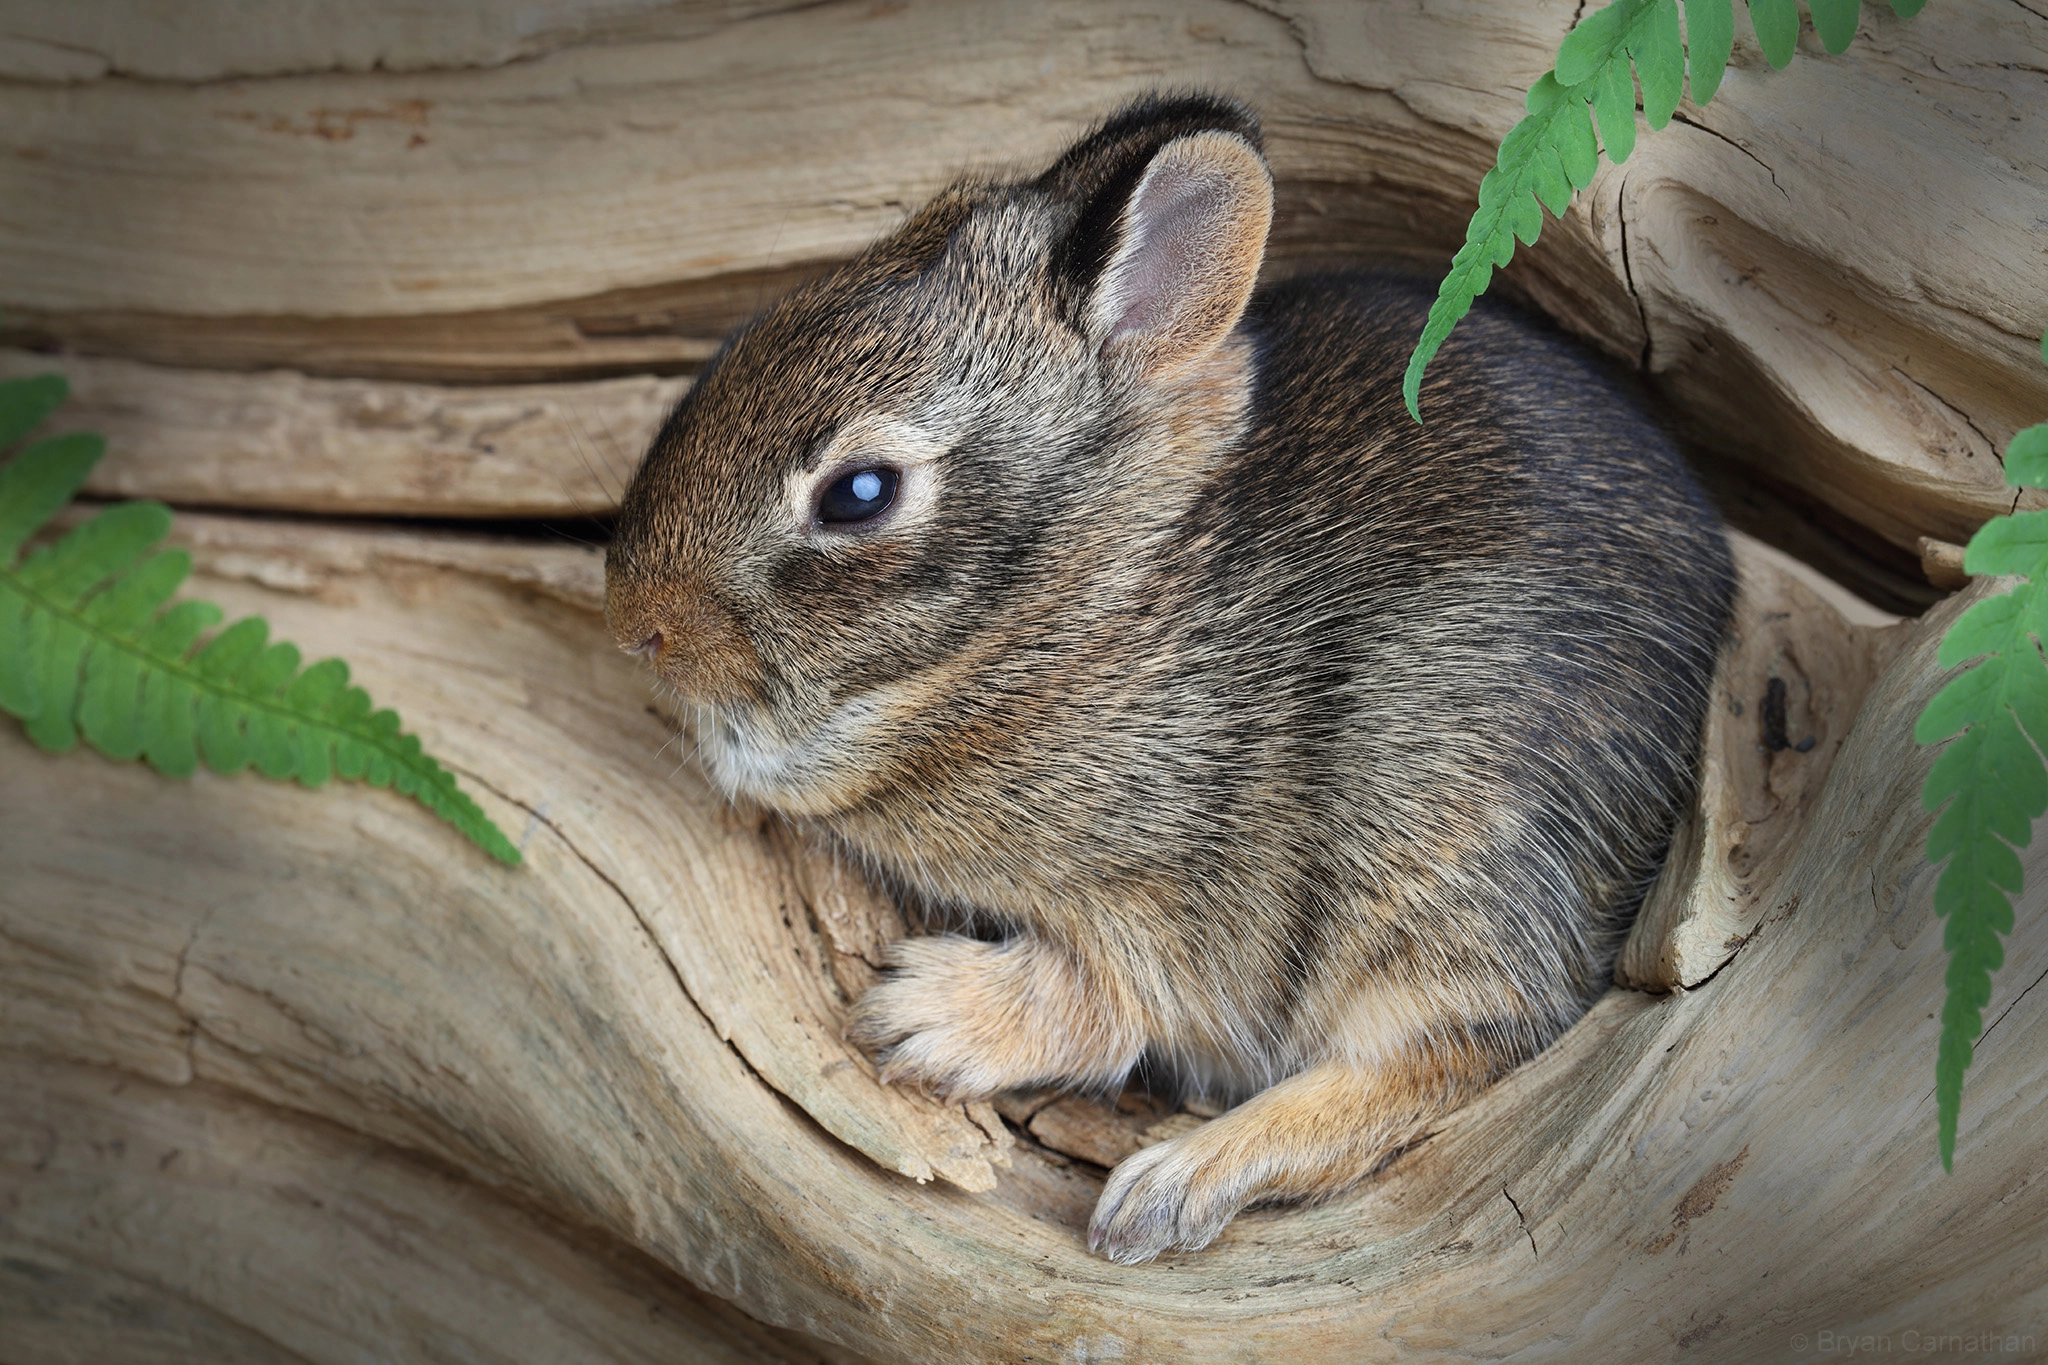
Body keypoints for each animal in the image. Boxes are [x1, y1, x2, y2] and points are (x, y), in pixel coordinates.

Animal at [604, 92, 1735, 1265]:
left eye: (859, 493)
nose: (637, 623)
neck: (1088, 600)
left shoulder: (1178, 905)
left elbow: (1107, 1000)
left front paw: (923, 1015)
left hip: (1429, 841)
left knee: (1467, 1042)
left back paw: (1170, 1183)